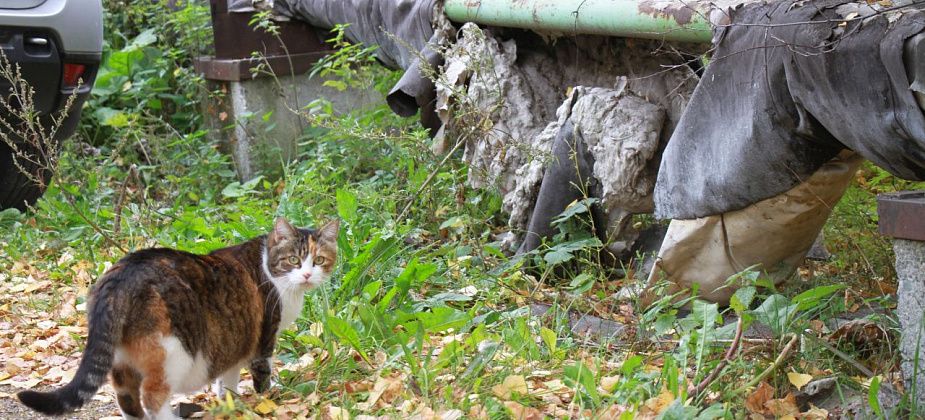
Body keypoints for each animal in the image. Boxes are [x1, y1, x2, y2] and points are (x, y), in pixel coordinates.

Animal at [18, 218, 338, 418]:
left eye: (319, 260)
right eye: (294, 260)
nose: (307, 275)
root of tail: (120, 275)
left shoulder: (237, 341)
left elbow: (228, 380)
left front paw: (231, 405)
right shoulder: (263, 338)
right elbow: (261, 378)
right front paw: (265, 404)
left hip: (121, 358)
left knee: (127, 399)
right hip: (174, 350)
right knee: (151, 395)